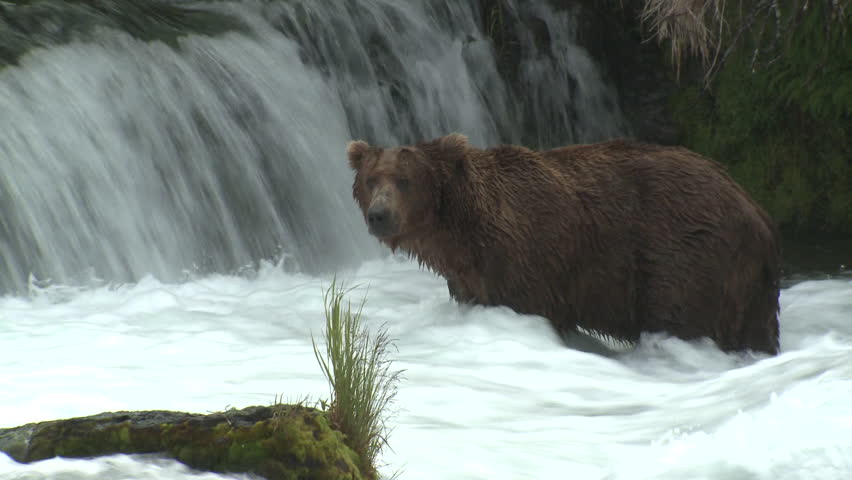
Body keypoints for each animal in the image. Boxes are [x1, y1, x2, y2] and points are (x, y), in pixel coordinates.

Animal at [346, 133, 782, 355]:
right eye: (371, 179)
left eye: (404, 180)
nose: (379, 215)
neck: (460, 236)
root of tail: (755, 210)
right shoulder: (470, 279)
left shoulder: (527, 264)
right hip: (749, 285)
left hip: (686, 252)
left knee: (681, 315)